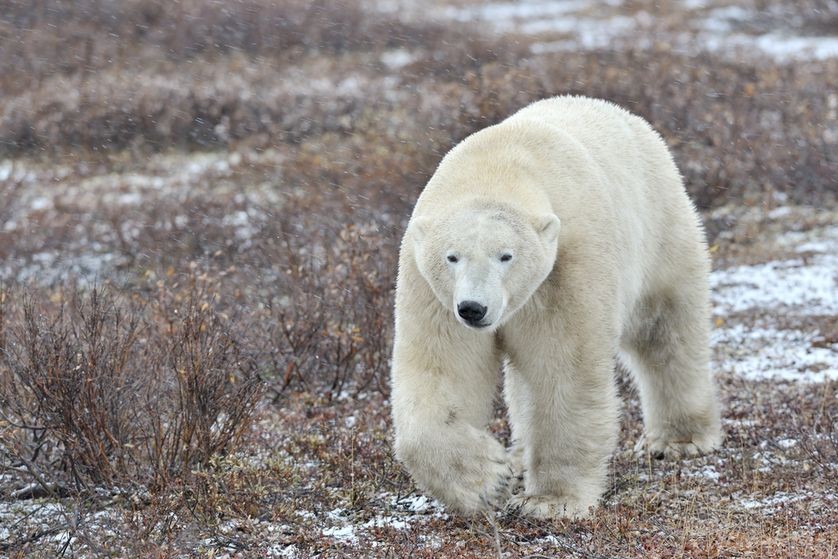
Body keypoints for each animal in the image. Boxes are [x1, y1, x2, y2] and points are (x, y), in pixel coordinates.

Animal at [390, 96, 724, 520]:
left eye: (506, 255)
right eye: (452, 256)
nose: (473, 308)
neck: (497, 165)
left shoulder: (566, 266)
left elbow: (564, 369)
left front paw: (550, 501)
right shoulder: (430, 289)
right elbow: (442, 369)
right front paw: (487, 482)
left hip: (659, 229)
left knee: (665, 331)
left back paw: (681, 438)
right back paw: (518, 457)